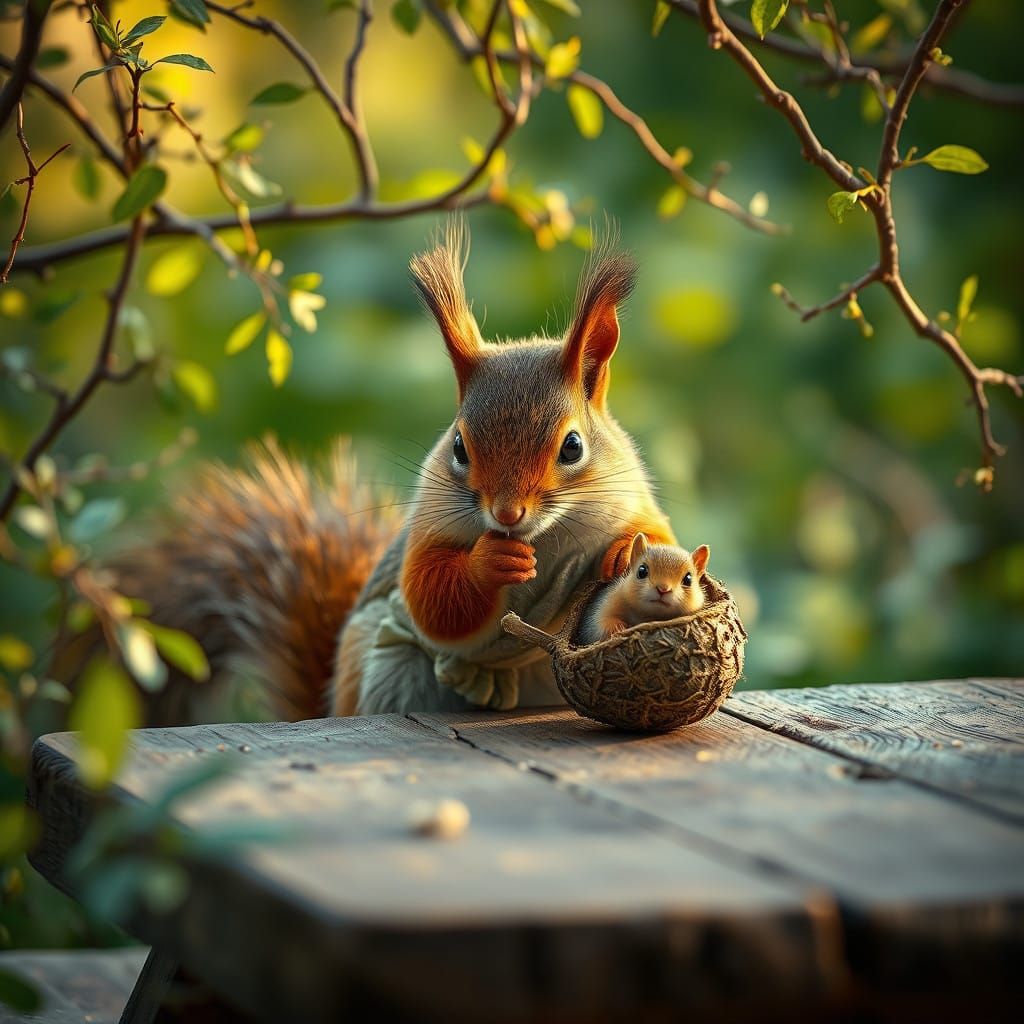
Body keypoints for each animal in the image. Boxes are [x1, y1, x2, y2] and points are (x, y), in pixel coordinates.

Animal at [57, 221, 676, 724]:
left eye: (573, 447)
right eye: (459, 446)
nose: (506, 514)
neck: (546, 538)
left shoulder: (632, 498)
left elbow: (656, 535)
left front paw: (619, 555)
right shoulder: (430, 526)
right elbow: (432, 598)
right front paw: (489, 562)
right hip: (380, 662)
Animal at [575, 533, 711, 645]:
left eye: (688, 579)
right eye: (642, 571)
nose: (663, 589)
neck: (645, 616)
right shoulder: (605, 603)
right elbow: (598, 626)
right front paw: (618, 627)